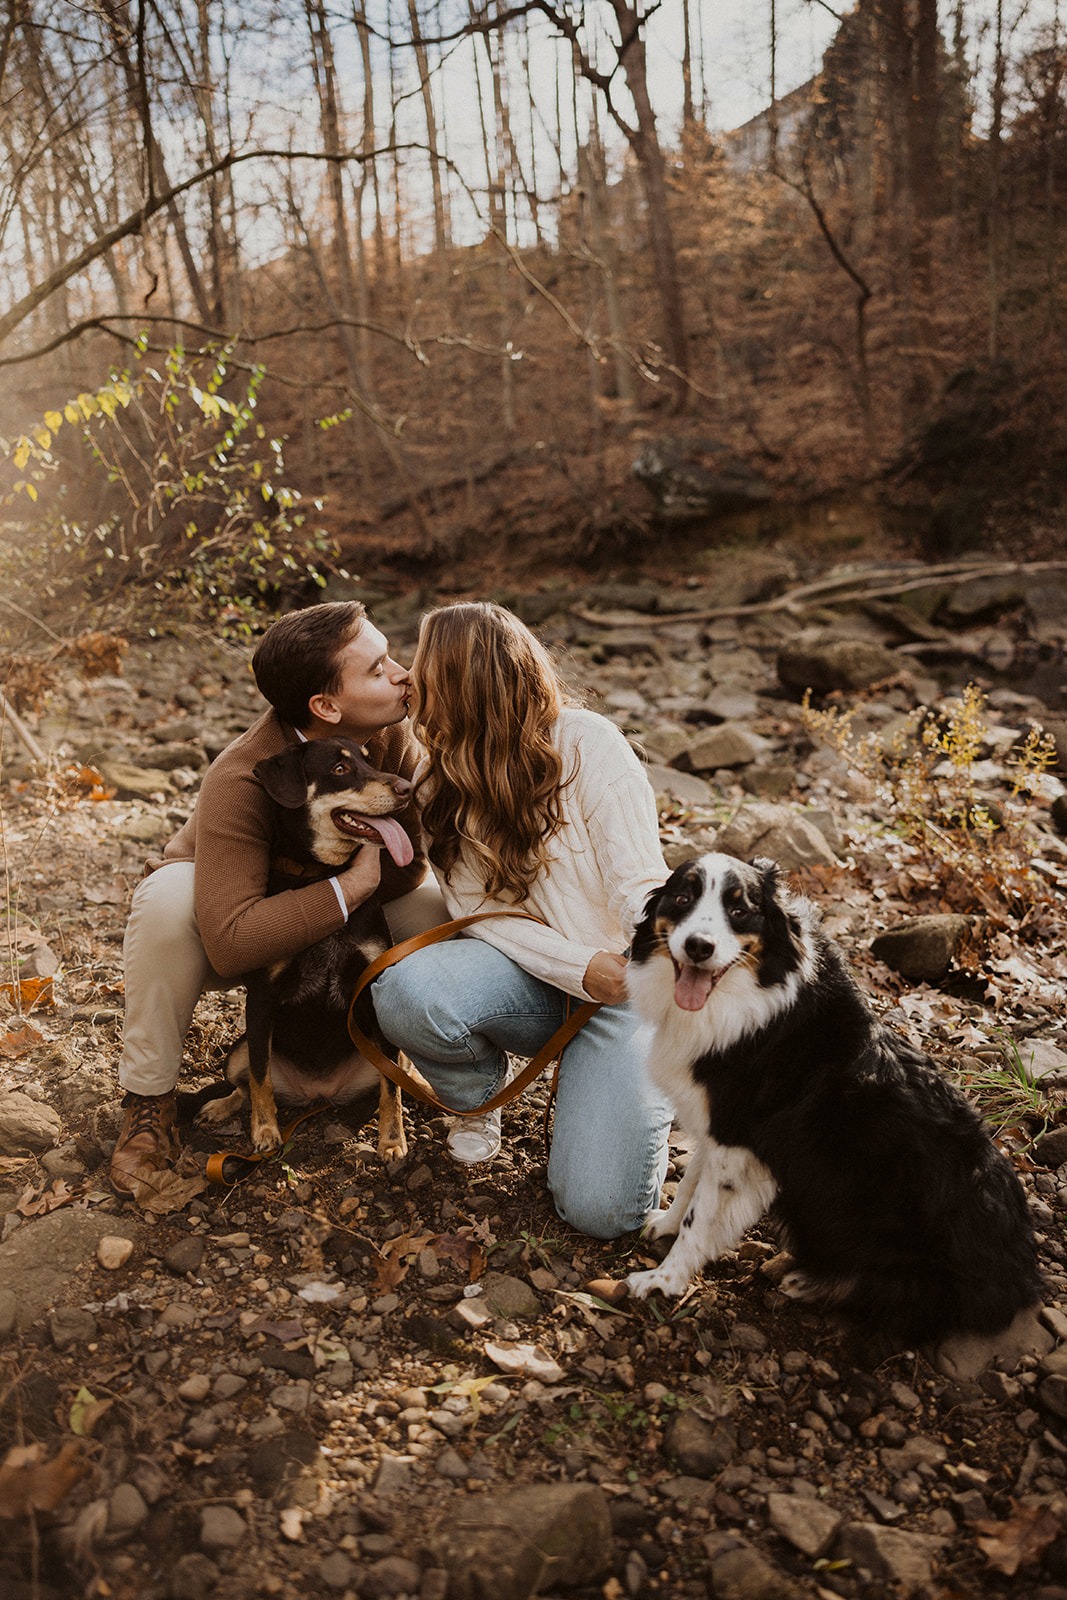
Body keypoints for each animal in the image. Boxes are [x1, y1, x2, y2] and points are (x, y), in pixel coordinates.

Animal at [195, 736, 415, 1164]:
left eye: (368, 760)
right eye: (340, 769)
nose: (407, 788)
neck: (323, 875)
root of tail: (319, 1094)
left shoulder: (373, 987)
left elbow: (391, 1089)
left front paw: (392, 1140)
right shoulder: (261, 1000)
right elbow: (260, 1078)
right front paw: (265, 1131)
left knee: (396, 1074)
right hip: (239, 1048)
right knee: (243, 1084)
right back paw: (220, 1107)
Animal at [627, 857, 1043, 1344]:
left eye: (740, 910)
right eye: (682, 898)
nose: (698, 946)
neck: (750, 998)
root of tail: (1023, 1282)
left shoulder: (737, 1141)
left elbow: (702, 1215)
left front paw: (663, 1281)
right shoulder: (719, 1127)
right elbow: (692, 1182)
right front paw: (665, 1225)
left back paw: (814, 1283)